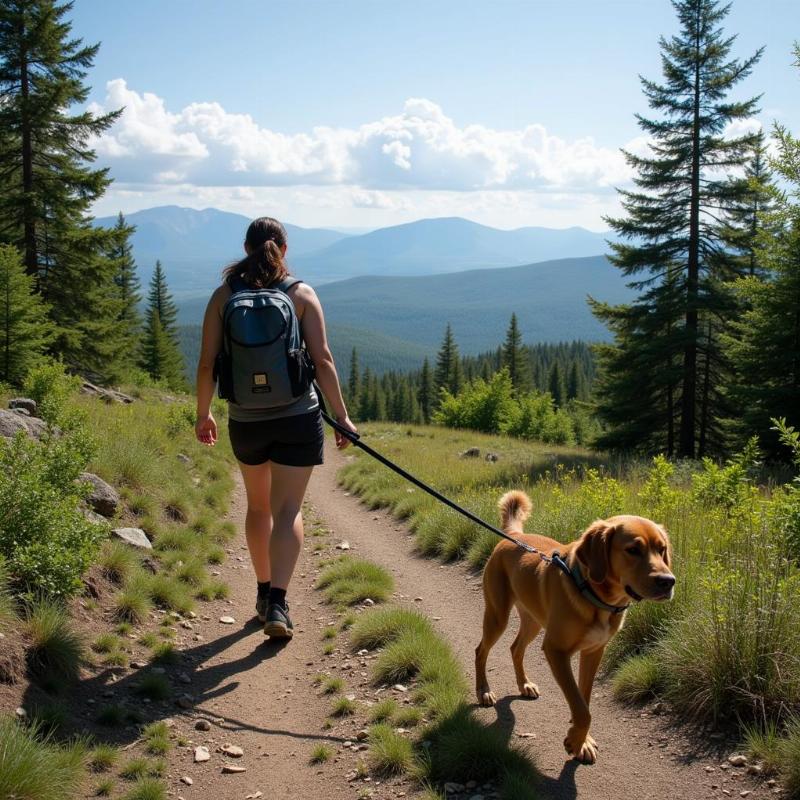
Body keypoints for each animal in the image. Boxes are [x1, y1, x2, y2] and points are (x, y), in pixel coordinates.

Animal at [476, 488, 676, 764]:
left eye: (662, 548)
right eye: (633, 549)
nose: (668, 581)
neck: (596, 596)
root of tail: (513, 536)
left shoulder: (593, 652)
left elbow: (584, 699)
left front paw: (583, 741)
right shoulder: (556, 651)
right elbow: (581, 708)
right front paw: (575, 741)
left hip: (533, 621)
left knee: (516, 648)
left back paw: (524, 685)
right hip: (498, 616)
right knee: (481, 651)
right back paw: (483, 691)